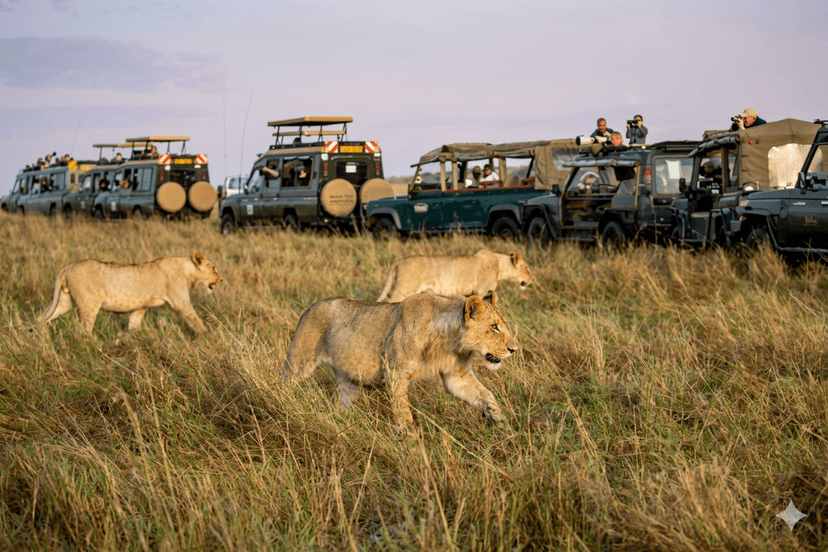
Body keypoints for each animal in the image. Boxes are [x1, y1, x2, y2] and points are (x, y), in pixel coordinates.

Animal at [40, 252, 222, 336]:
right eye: (214, 268)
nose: (221, 279)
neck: (187, 269)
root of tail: (68, 266)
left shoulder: (140, 307)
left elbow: (134, 324)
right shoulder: (180, 303)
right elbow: (195, 320)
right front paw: (207, 336)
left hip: (63, 302)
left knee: (42, 318)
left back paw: (39, 338)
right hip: (89, 305)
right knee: (83, 331)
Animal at [282, 290, 517, 427]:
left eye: (503, 324)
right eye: (494, 327)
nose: (514, 349)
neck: (450, 342)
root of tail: (310, 307)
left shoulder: (457, 376)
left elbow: (485, 394)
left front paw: (499, 419)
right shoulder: (395, 374)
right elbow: (404, 413)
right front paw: (413, 443)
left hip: (348, 382)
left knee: (339, 402)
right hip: (299, 362)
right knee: (286, 382)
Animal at [376, 249, 534, 302]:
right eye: (527, 268)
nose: (532, 279)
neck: (500, 266)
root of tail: (399, 260)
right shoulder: (481, 291)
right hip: (404, 289)